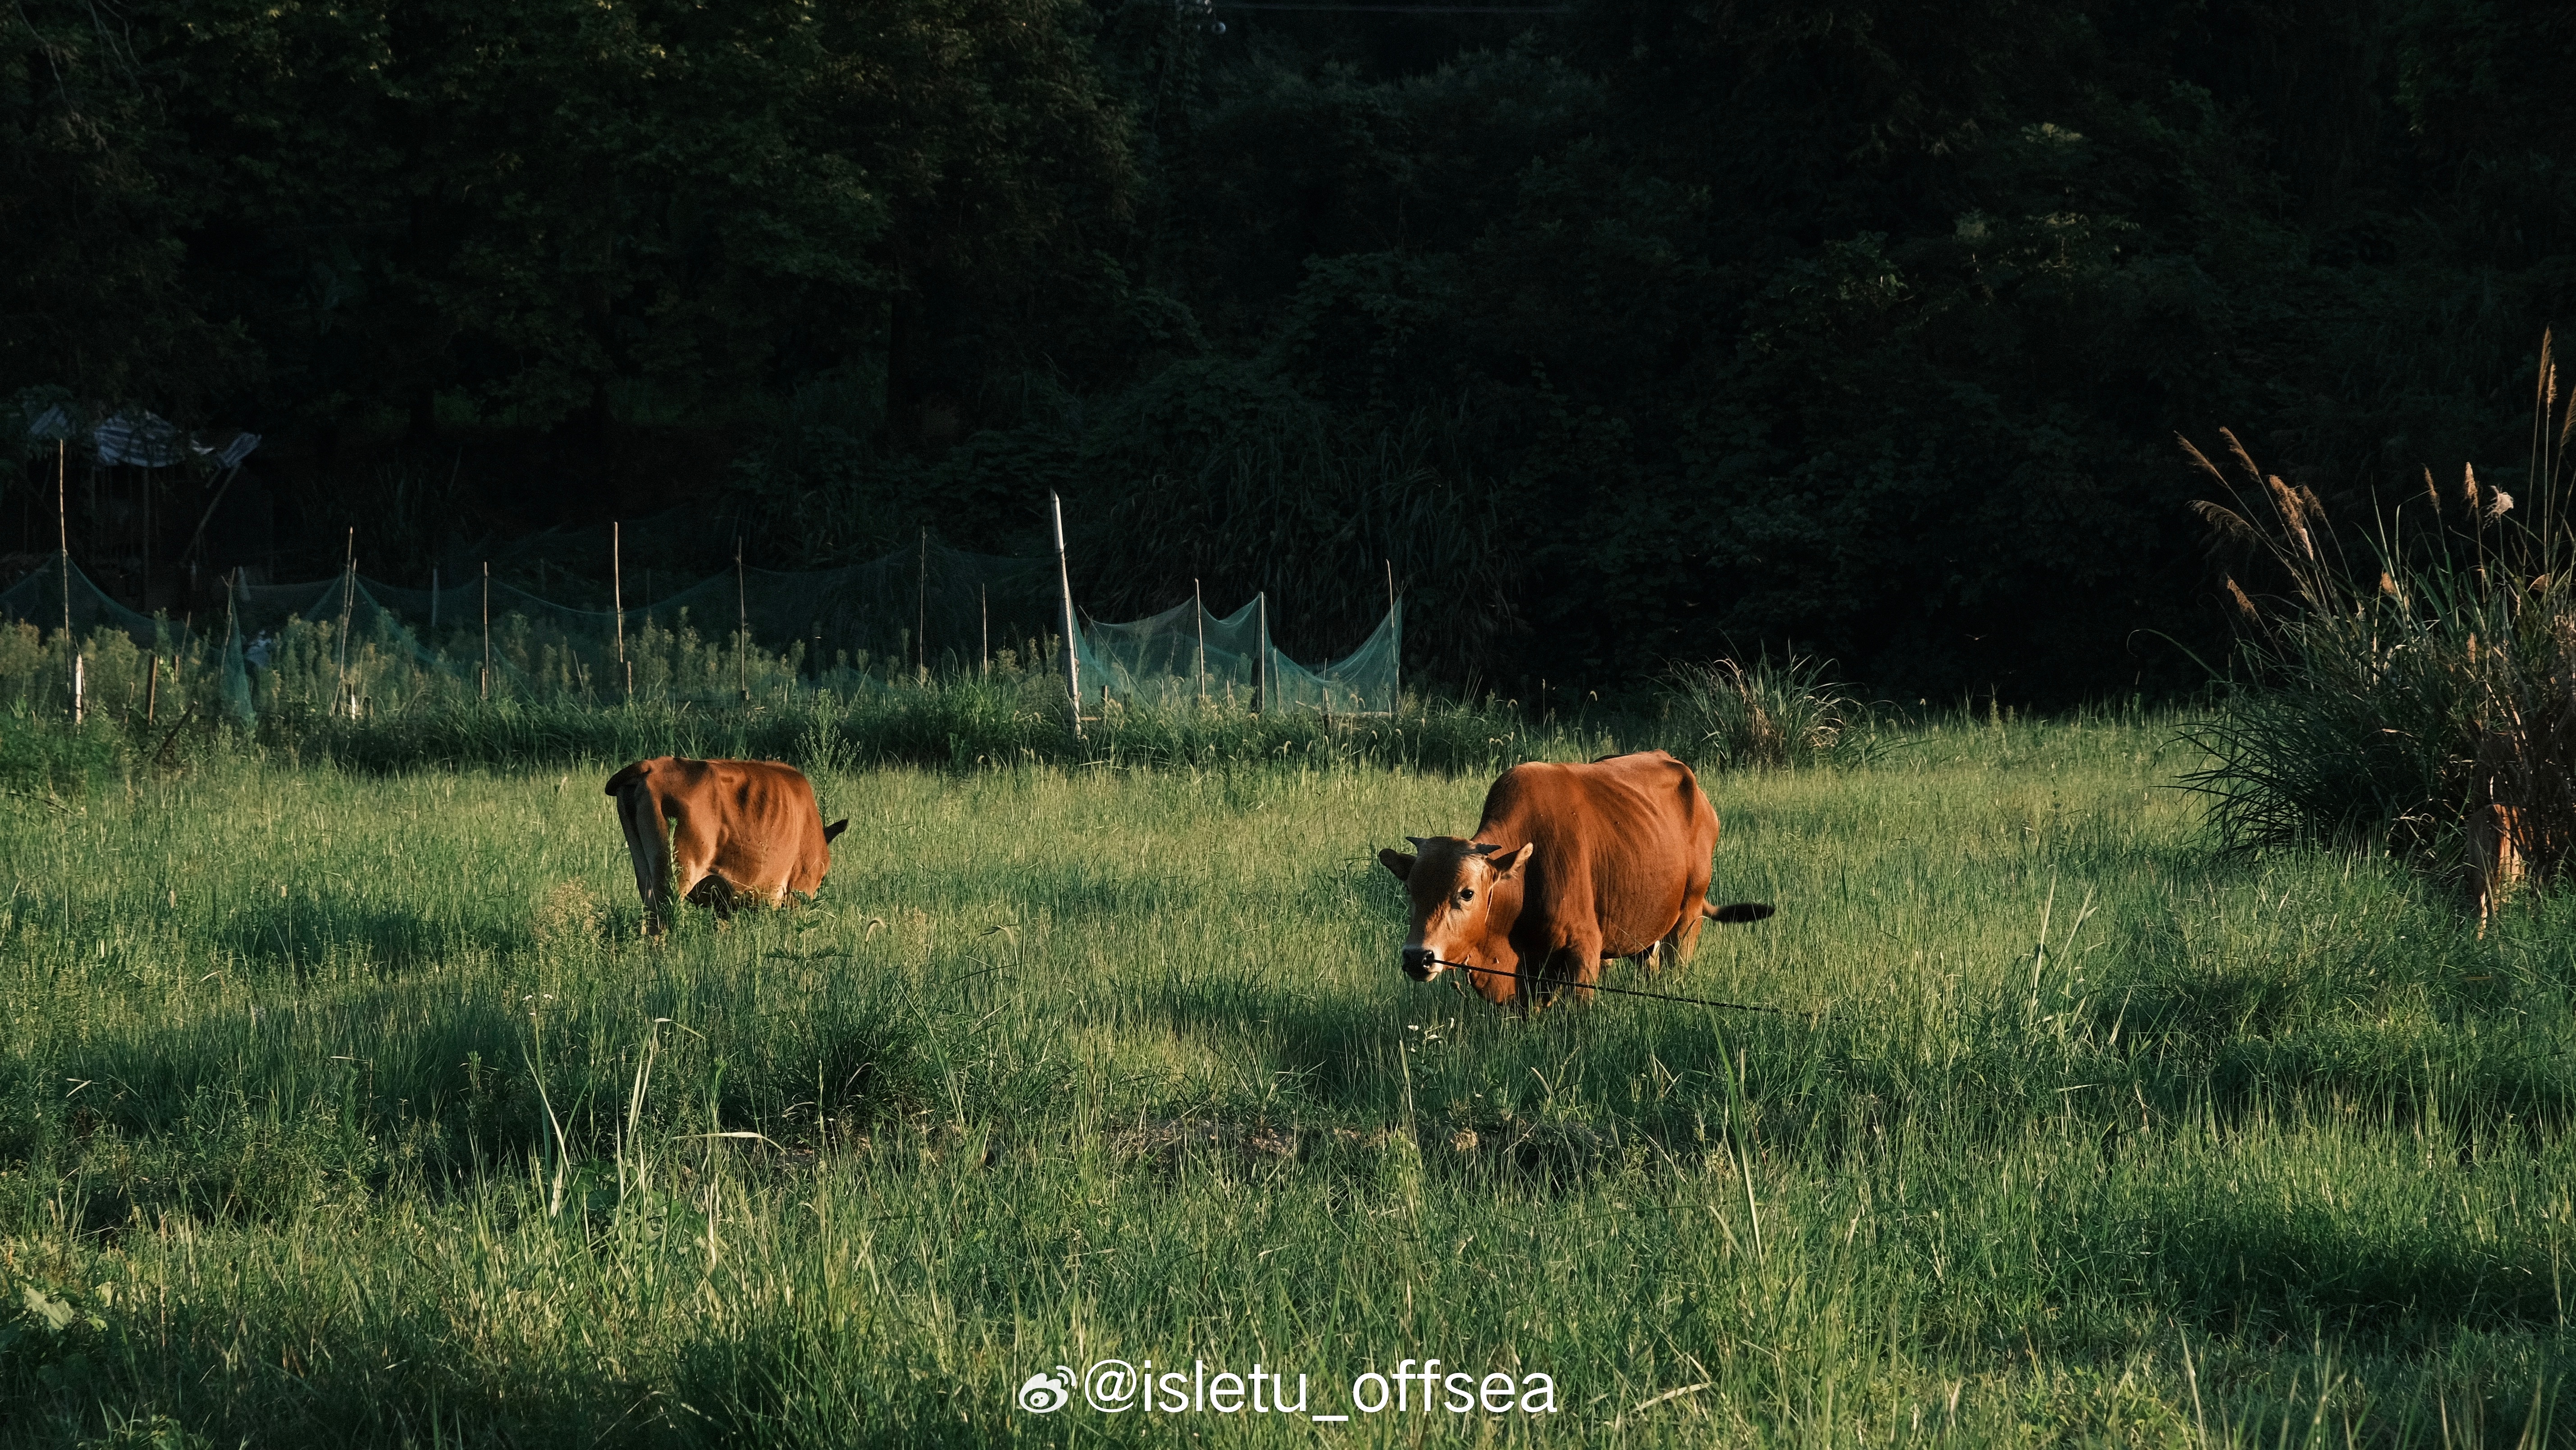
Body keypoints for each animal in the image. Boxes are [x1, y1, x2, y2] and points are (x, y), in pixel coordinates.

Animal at [603, 757, 845, 937]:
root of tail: (653, 767)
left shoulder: (723, 904)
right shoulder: (797, 890)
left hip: (645, 872)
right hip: (675, 875)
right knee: (658, 927)